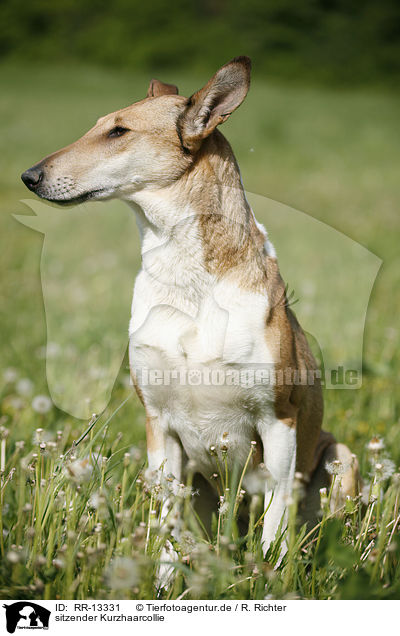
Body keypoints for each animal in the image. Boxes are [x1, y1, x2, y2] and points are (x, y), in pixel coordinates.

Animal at [20, 56, 360, 552]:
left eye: (118, 131)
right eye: (99, 126)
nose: (29, 177)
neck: (189, 283)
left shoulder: (279, 423)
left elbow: (274, 531)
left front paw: (267, 573)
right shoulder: (159, 423)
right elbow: (164, 525)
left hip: (342, 460)